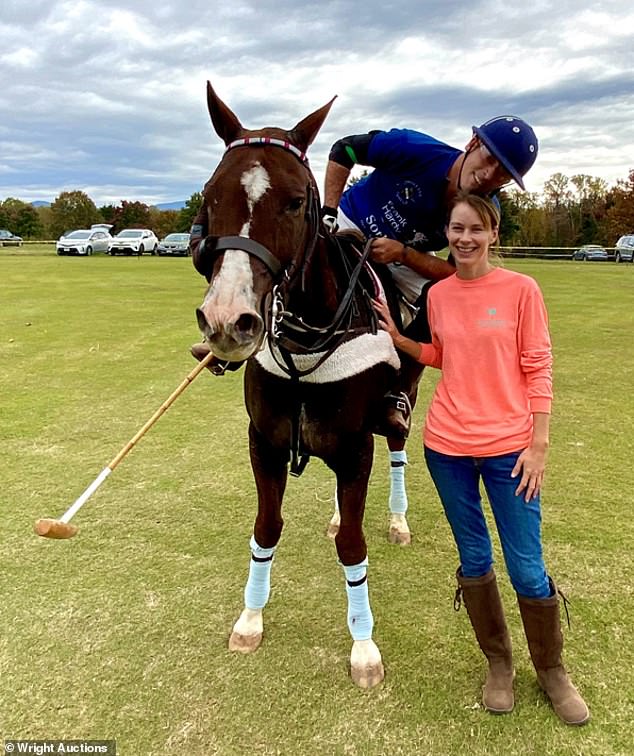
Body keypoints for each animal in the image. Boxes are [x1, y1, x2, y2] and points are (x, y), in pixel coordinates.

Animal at [190, 84, 402, 692]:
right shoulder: (263, 441)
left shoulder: (357, 448)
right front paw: (249, 619)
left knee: (398, 448)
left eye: (294, 202)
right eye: (211, 194)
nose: (227, 320)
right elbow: (266, 528)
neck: (306, 343)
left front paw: (364, 647)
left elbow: (353, 545)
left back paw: (397, 519)